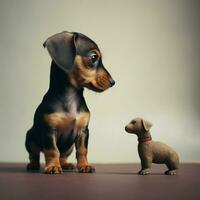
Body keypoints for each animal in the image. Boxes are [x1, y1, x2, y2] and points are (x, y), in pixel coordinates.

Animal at [25, 31, 115, 173]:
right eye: (93, 58)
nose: (113, 82)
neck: (70, 97)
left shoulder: (83, 132)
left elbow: (82, 151)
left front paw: (84, 165)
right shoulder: (49, 131)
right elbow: (52, 151)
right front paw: (53, 166)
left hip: (69, 147)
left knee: (63, 155)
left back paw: (65, 164)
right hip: (30, 138)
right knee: (34, 154)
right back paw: (34, 165)